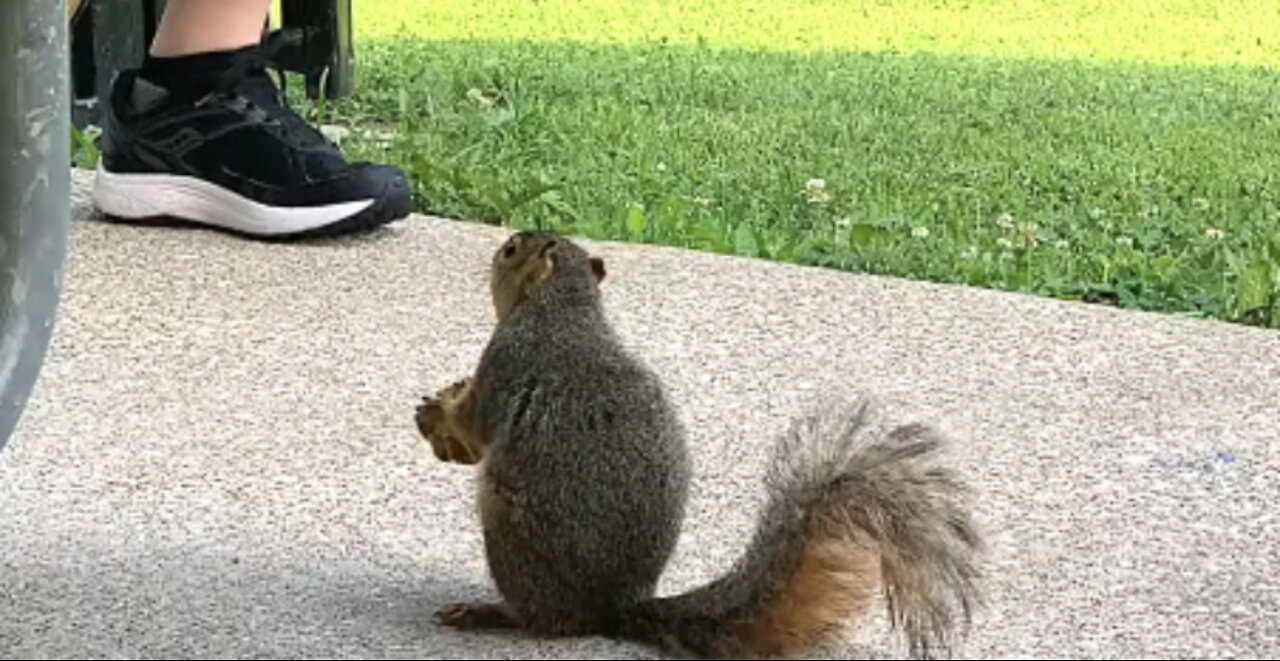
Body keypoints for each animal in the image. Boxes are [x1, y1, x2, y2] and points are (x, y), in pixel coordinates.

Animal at [414, 229, 983, 655]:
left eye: (512, 249)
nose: (499, 248)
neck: (566, 306)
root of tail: (614, 609)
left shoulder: (507, 360)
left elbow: (477, 424)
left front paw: (439, 415)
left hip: (510, 531)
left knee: (546, 621)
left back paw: (490, 613)